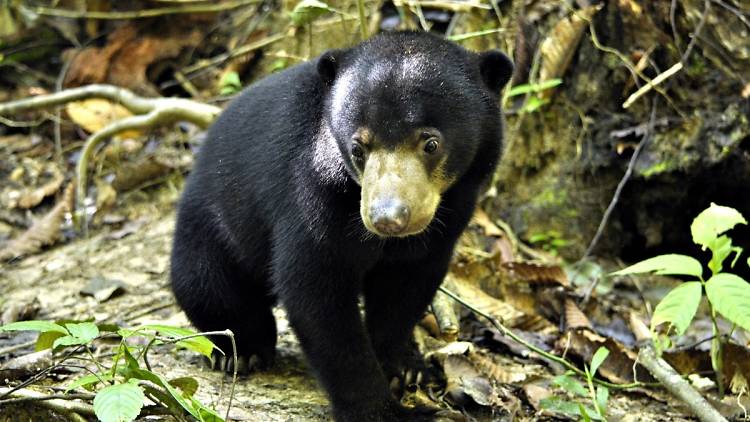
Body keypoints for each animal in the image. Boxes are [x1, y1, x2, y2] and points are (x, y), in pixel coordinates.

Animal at [171, 31, 516, 420]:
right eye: (358, 148)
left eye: (431, 143)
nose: (388, 218)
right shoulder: (313, 192)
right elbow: (317, 290)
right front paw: (379, 409)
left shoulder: (452, 211)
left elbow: (406, 286)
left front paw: (402, 369)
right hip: (211, 227)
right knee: (207, 286)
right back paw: (242, 351)